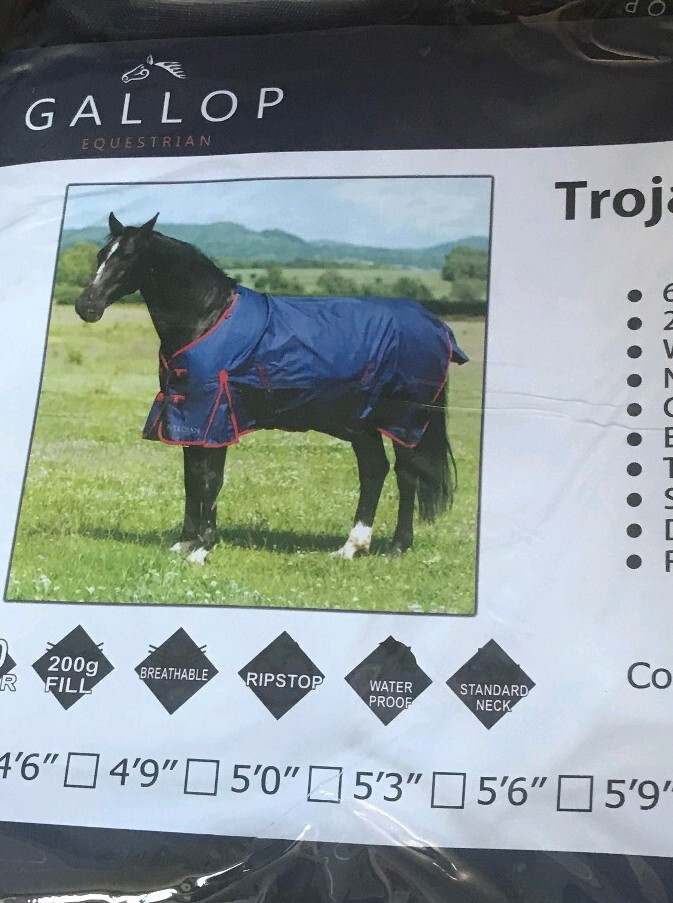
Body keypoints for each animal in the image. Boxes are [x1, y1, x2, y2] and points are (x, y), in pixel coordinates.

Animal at [75, 213, 468, 565]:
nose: (86, 306)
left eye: (128, 256)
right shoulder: (188, 416)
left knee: (407, 475)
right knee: (374, 470)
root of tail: (436, 325)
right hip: (361, 423)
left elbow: (210, 479)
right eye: (101, 254)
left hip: (405, 421)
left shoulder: (215, 417)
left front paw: (202, 548)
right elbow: (191, 478)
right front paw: (183, 543)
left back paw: (397, 548)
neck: (208, 318)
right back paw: (350, 548)